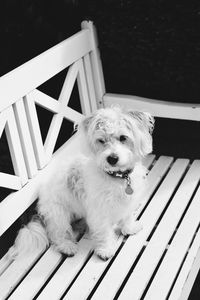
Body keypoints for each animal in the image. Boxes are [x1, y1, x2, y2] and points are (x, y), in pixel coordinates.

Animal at [8, 105, 154, 260]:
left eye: (123, 138)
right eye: (101, 140)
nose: (112, 158)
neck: (118, 178)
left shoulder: (129, 201)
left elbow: (127, 216)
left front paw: (129, 228)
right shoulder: (99, 211)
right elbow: (104, 232)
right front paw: (106, 249)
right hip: (59, 214)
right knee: (56, 234)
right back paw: (67, 246)